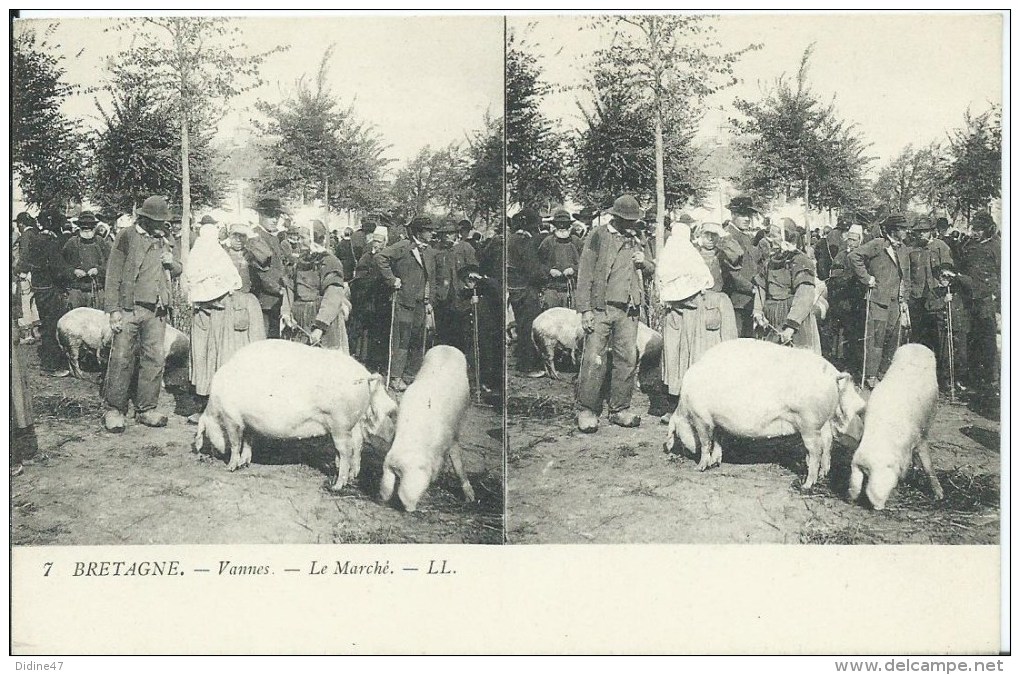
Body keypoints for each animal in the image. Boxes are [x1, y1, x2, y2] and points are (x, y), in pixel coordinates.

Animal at [192, 338, 395, 491]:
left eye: (207, 434)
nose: (214, 454)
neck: (215, 406)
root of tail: (365, 375)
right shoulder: (249, 421)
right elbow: (249, 441)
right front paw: (244, 463)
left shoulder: (232, 417)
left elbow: (235, 443)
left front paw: (230, 467)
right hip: (352, 423)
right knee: (357, 446)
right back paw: (349, 475)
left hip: (340, 422)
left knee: (346, 451)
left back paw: (337, 486)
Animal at [660, 338, 869, 491]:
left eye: (678, 434)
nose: (688, 452)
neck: (684, 406)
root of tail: (833, 375)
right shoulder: (718, 421)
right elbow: (718, 441)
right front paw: (715, 462)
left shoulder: (702, 417)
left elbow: (705, 442)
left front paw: (700, 467)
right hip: (822, 421)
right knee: (828, 443)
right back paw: (823, 474)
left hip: (809, 422)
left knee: (816, 450)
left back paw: (807, 485)